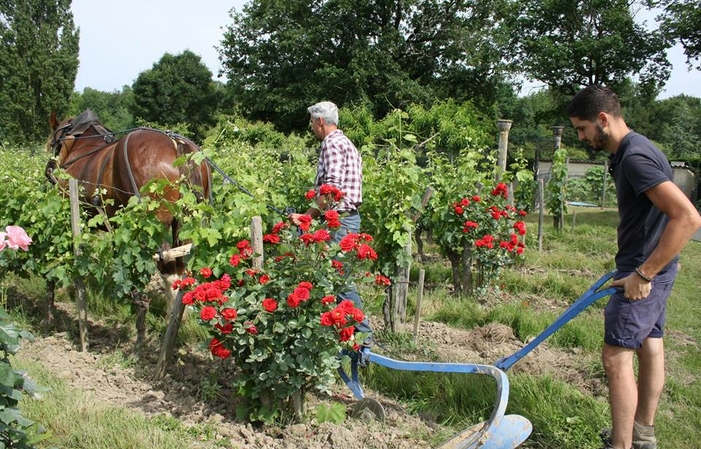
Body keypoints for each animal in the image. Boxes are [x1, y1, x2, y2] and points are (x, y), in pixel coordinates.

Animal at [44, 107, 211, 346]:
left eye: (51, 143)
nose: (48, 171)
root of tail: (176, 144)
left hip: (153, 224)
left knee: (167, 265)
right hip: (186, 221)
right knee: (181, 264)